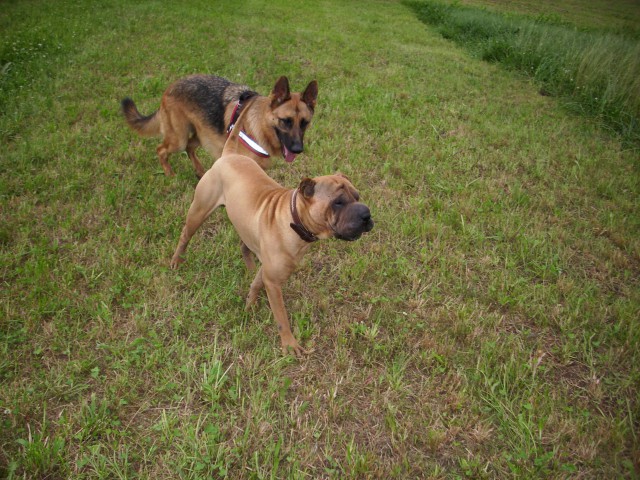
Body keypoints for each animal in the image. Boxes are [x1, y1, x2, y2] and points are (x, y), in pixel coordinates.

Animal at [120, 76, 318, 177]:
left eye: (305, 123)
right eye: (286, 121)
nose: (298, 149)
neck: (259, 124)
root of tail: (170, 87)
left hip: (201, 136)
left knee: (190, 148)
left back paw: (200, 172)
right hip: (179, 139)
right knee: (161, 149)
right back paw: (170, 174)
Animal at [170, 97, 376, 354]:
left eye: (357, 196)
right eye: (338, 202)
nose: (367, 215)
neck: (294, 219)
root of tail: (228, 155)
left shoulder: (268, 272)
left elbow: (256, 284)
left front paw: (249, 306)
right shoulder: (274, 282)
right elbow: (281, 316)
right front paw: (289, 344)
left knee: (245, 246)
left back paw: (248, 267)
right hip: (199, 211)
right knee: (185, 236)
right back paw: (176, 261)